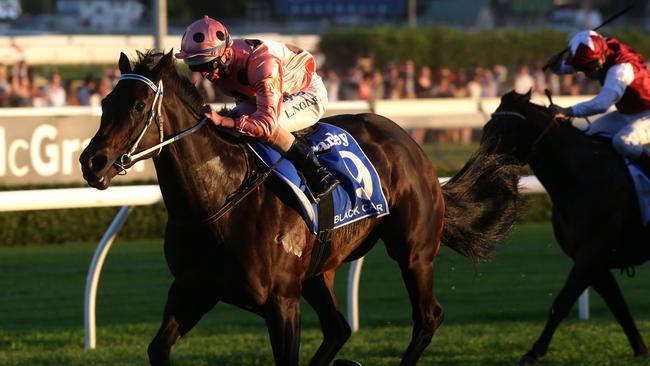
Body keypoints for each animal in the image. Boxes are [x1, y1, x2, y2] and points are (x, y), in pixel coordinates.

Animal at [78, 49, 520, 366]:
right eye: (105, 101)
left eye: (137, 106)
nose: (91, 162)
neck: (218, 203)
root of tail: (409, 142)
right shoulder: (193, 288)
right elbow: (157, 349)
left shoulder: (281, 302)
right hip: (318, 271)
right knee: (339, 329)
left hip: (413, 252)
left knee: (428, 317)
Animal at [478, 91, 648, 364]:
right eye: (486, 127)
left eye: (508, 129)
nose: (480, 169)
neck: (583, 178)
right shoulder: (593, 260)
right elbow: (617, 303)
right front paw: (641, 348)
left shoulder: (592, 255)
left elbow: (562, 301)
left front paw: (533, 352)